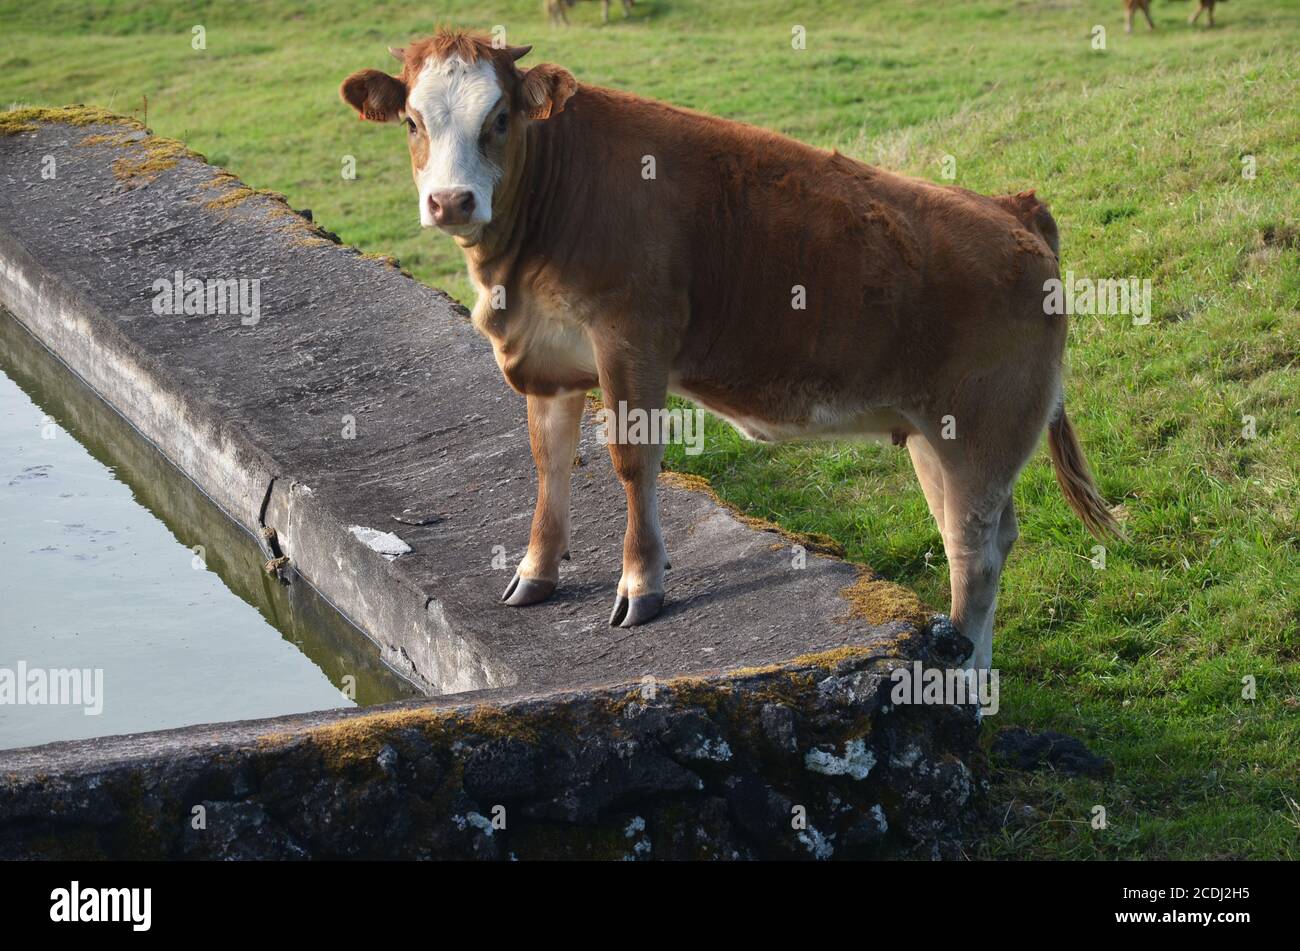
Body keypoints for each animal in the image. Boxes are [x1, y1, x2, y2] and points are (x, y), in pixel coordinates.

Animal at [335, 29, 1118, 670]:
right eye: (413, 121)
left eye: (498, 120)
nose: (451, 201)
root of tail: (1011, 208)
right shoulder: (552, 361)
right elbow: (548, 462)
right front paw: (537, 571)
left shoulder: (632, 342)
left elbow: (631, 461)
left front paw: (642, 584)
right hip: (935, 438)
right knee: (988, 537)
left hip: (979, 434)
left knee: (972, 553)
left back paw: (961, 680)